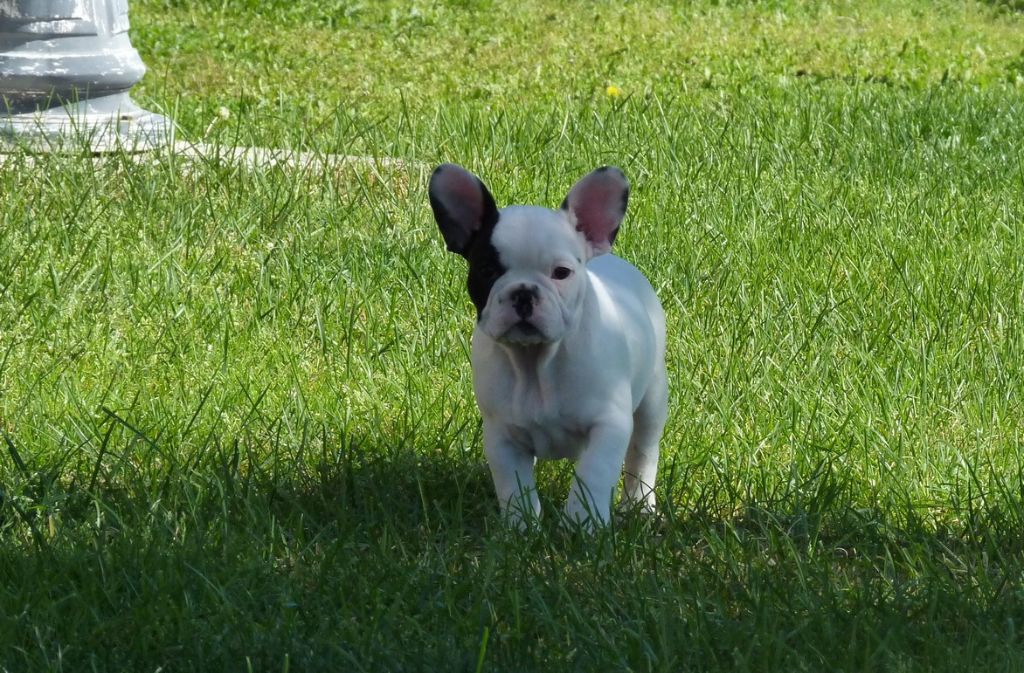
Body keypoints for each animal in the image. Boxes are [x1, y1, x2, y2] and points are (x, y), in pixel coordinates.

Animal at [428, 162, 667, 524]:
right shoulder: (502, 436)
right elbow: (513, 485)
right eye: (487, 270)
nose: (523, 292)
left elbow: (593, 476)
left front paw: (582, 524)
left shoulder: (608, 424)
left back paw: (639, 503)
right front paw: (521, 526)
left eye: (561, 273)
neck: (536, 362)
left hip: (652, 397)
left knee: (643, 451)